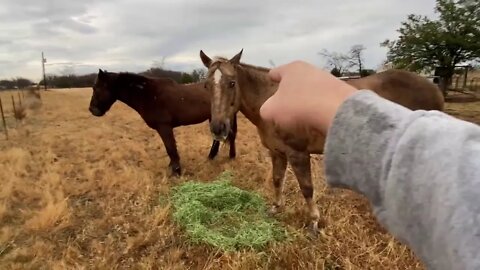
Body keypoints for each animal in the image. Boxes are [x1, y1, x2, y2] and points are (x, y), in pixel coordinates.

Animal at [88, 68, 238, 176]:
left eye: (96, 88)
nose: (92, 110)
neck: (148, 94)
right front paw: (173, 168)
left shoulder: (164, 127)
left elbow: (170, 148)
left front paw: (176, 171)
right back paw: (213, 157)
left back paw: (229, 157)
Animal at [197, 49, 444, 234]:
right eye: (206, 85)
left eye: (231, 83)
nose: (218, 128)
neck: (272, 99)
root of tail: (434, 87)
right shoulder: (277, 152)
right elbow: (277, 180)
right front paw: (276, 208)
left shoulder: (298, 153)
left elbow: (307, 188)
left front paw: (314, 222)